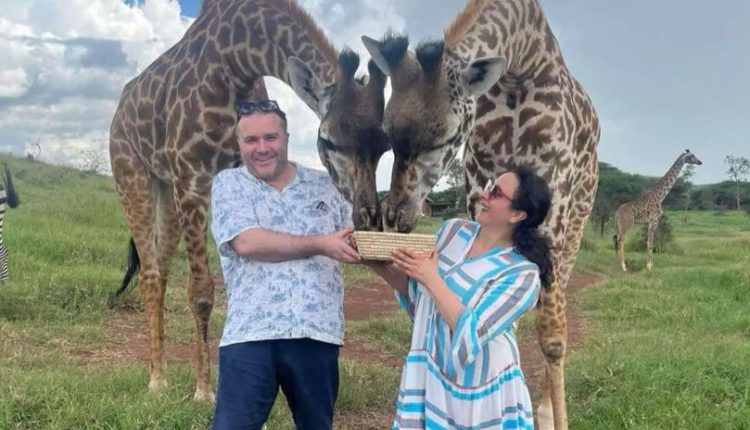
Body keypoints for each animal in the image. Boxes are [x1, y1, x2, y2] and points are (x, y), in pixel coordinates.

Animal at [109, 0, 386, 401]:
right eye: (327, 140)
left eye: (385, 145)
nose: (367, 213)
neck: (238, 59)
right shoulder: (192, 174)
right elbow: (201, 292)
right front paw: (204, 392)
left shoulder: (229, 171)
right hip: (131, 172)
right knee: (148, 273)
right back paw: (157, 381)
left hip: (165, 183)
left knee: (159, 271)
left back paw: (161, 373)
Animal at [362, 1, 600, 428]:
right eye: (387, 133)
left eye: (444, 136)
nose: (396, 215)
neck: (518, 71)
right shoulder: (477, 184)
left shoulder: (555, 187)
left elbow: (552, 336)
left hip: (580, 211)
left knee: (555, 312)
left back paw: (545, 412)